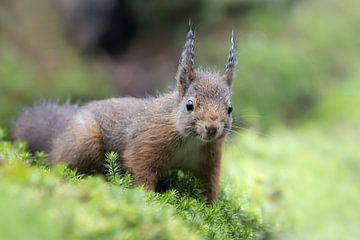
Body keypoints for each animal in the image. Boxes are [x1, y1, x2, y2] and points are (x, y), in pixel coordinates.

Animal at [11, 25, 236, 202]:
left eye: (229, 108)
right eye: (189, 105)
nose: (212, 128)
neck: (192, 140)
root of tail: (60, 134)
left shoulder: (209, 158)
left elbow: (209, 182)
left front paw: (211, 204)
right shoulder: (148, 141)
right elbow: (140, 166)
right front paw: (147, 197)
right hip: (84, 141)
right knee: (60, 164)